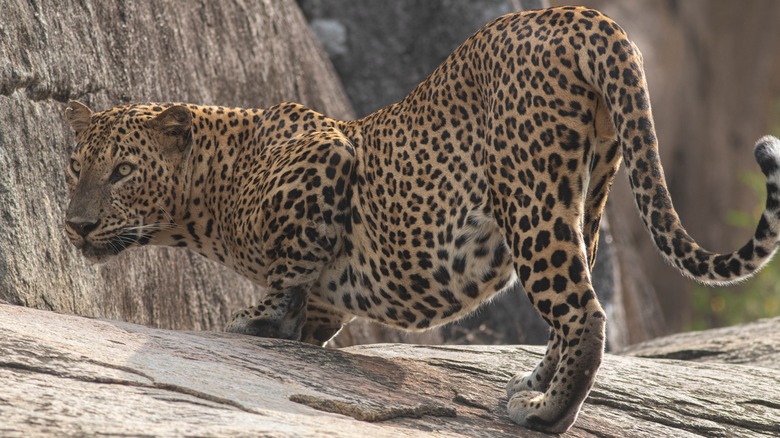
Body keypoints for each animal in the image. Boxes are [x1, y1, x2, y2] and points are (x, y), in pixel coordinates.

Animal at [64, 7, 780, 434]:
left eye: (122, 172)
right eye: (75, 168)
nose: (74, 225)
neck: (209, 195)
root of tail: (581, 15)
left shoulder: (325, 159)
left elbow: (289, 270)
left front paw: (258, 317)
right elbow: (312, 306)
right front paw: (284, 323)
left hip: (530, 192)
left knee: (585, 312)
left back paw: (543, 412)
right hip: (592, 190)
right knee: (572, 303)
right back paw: (529, 387)